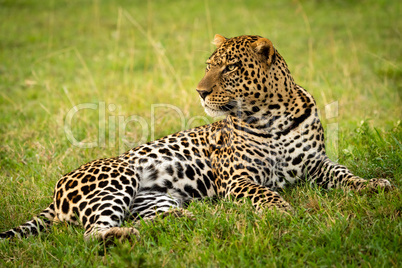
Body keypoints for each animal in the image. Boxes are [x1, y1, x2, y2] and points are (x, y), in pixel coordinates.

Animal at [0, 34, 392, 242]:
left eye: (230, 68)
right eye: (208, 66)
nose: (200, 92)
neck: (273, 114)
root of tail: (56, 192)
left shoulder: (315, 162)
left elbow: (345, 175)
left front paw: (375, 184)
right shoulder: (238, 178)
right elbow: (264, 192)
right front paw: (280, 210)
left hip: (156, 199)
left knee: (146, 219)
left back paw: (199, 219)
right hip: (119, 176)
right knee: (94, 231)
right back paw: (125, 238)